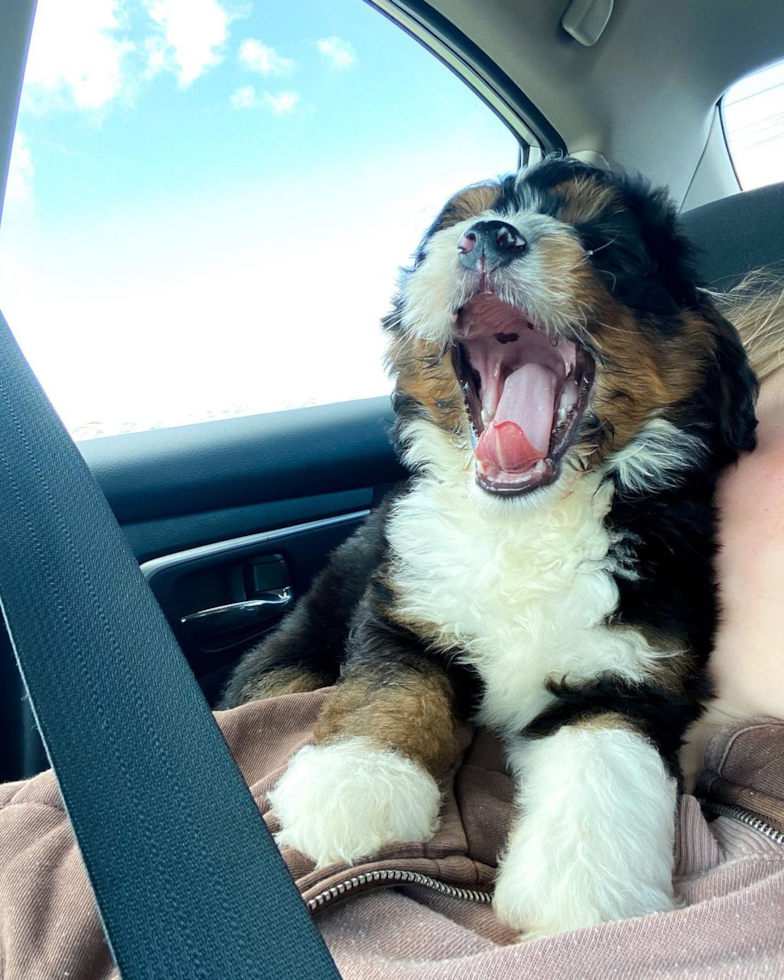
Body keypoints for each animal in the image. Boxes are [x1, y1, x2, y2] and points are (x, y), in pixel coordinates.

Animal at [220, 161, 760, 940]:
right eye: (453, 226)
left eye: (608, 248)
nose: (488, 237)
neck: (528, 525)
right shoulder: (403, 600)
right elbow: (391, 682)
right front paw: (355, 782)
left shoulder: (638, 663)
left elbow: (605, 755)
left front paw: (584, 891)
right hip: (297, 641)